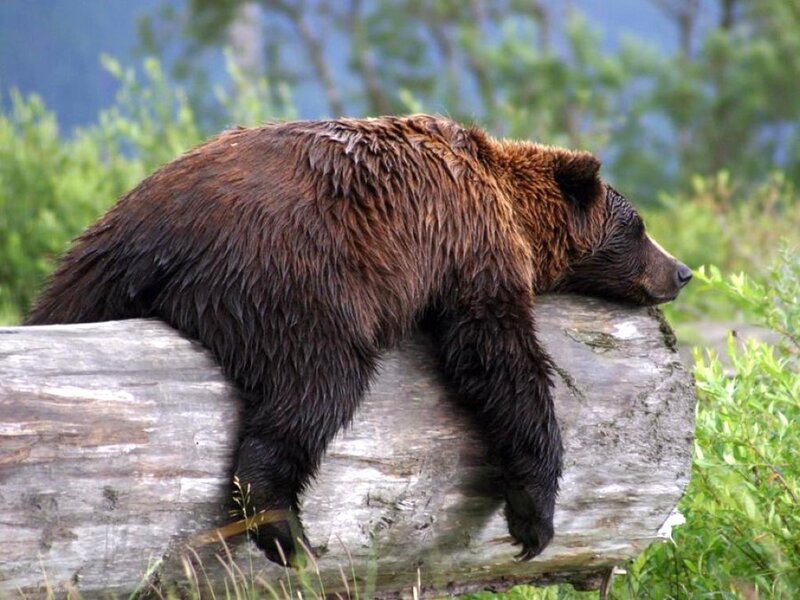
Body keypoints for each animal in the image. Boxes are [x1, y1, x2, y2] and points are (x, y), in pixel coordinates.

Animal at [26, 115, 691, 564]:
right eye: (639, 227)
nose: (682, 271)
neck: (506, 202)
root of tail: (153, 236)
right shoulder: (471, 245)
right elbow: (496, 357)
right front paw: (534, 518)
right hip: (292, 277)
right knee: (317, 384)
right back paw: (285, 530)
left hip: (87, 273)